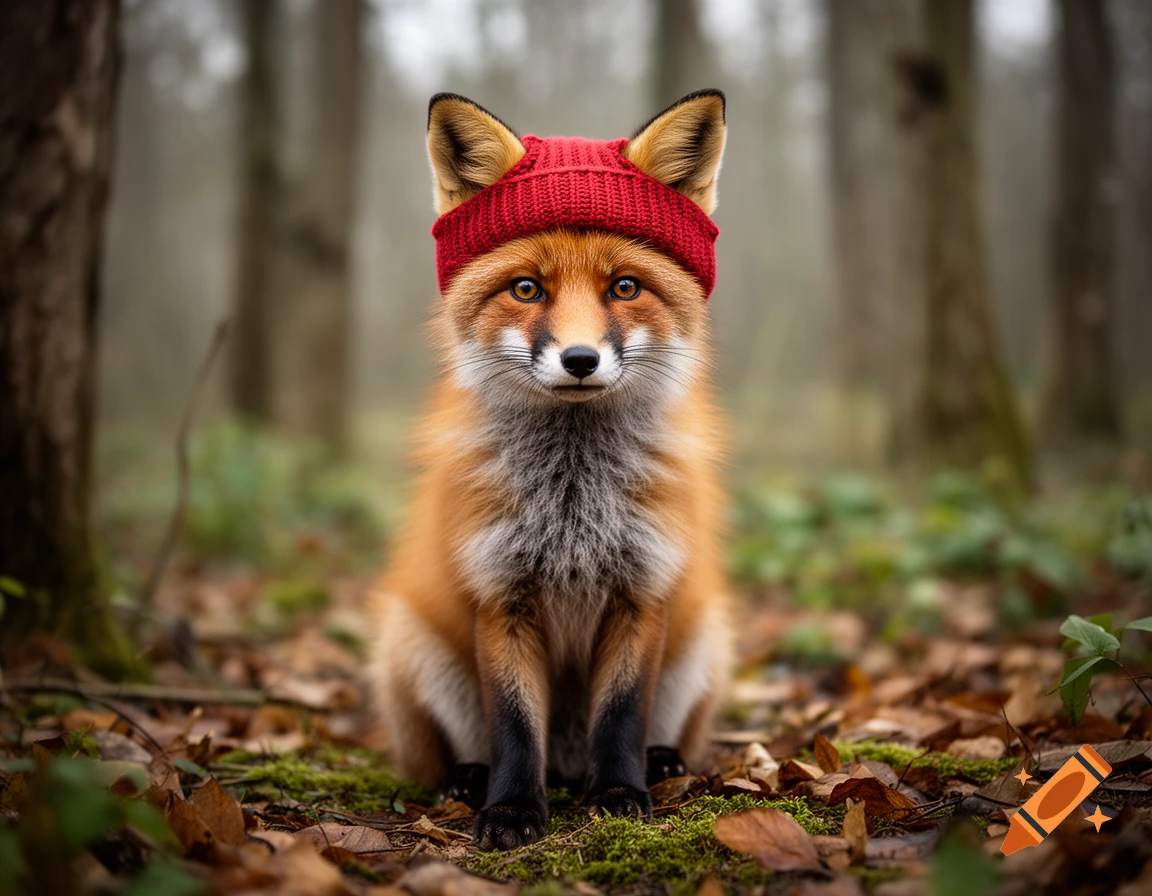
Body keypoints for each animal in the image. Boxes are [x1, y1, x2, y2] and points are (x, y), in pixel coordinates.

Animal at [369, 89, 732, 851]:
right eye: (527, 289)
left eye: (624, 286)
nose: (580, 359)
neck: (572, 502)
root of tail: (566, 762)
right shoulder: (500, 593)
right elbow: (513, 726)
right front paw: (510, 810)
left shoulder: (643, 589)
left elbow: (621, 717)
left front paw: (619, 795)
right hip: (410, 645)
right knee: (461, 752)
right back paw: (467, 781)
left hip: (704, 639)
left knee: (645, 733)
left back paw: (660, 764)